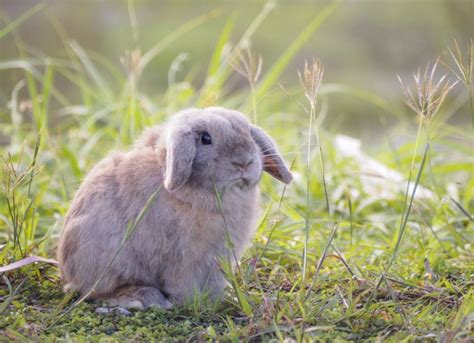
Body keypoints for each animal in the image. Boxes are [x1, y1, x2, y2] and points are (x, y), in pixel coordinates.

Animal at [56, 107, 292, 310]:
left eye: (248, 133)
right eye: (205, 138)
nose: (243, 162)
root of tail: (67, 274)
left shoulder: (218, 260)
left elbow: (215, 283)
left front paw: (219, 299)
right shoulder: (183, 258)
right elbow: (182, 283)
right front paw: (192, 302)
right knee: (100, 291)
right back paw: (146, 298)